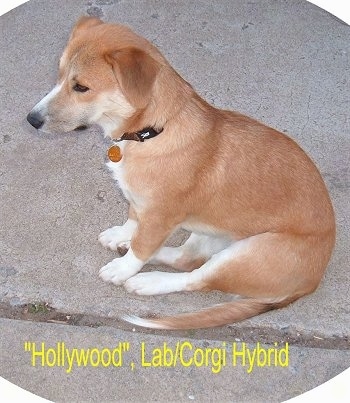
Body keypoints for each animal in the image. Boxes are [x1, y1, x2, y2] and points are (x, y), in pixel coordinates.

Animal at [27, 17, 336, 330]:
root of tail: (307, 286)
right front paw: (123, 236)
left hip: (250, 254)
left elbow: (142, 246)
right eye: (59, 76)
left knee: (195, 278)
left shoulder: (160, 215)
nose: (31, 120)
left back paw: (147, 280)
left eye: (81, 87)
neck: (152, 131)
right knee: (186, 259)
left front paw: (123, 268)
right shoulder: (140, 203)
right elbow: (133, 221)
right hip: (210, 235)